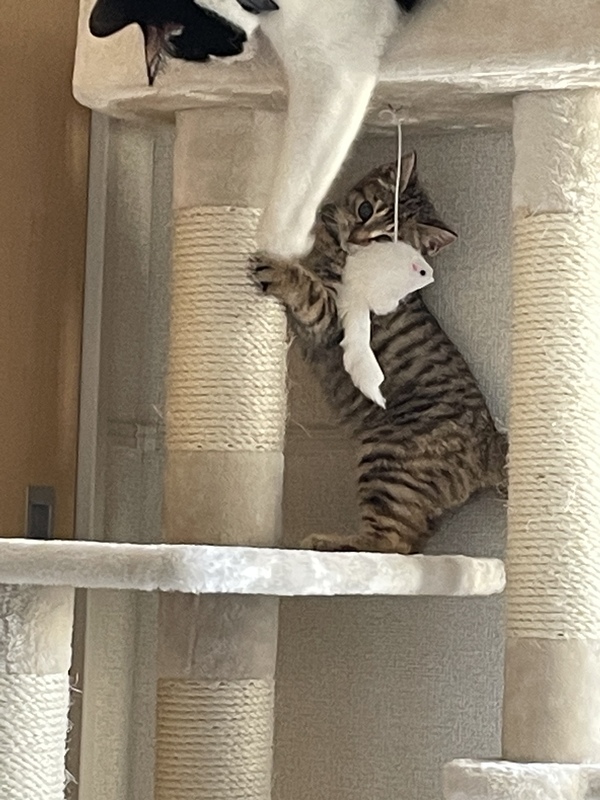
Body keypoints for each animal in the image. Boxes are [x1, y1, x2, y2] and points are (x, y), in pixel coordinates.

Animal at [250, 154, 507, 554]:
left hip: (386, 462)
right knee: (408, 541)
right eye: (365, 209)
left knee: (389, 543)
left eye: (386, 240)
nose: (356, 237)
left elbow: (306, 286)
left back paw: (328, 542)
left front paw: (280, 268)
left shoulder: (332, 318)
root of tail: (489, 441)